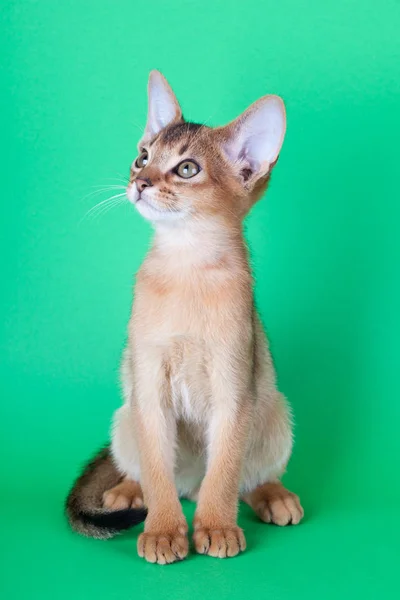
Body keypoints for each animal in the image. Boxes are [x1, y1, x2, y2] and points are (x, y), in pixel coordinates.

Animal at [66, 69, 304, 564]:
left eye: (187, 168)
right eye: (142, 157)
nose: (140, 182)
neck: (185, 268)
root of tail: (190, 487)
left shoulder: (235, 389)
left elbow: (226, 470)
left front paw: (215, 526)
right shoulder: (149, 385)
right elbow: (158, 469)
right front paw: (162, 532)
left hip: (276, 411)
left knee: (245, 477)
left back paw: (273, 495)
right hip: (125, 416)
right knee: (153, 473)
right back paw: (128, 490)